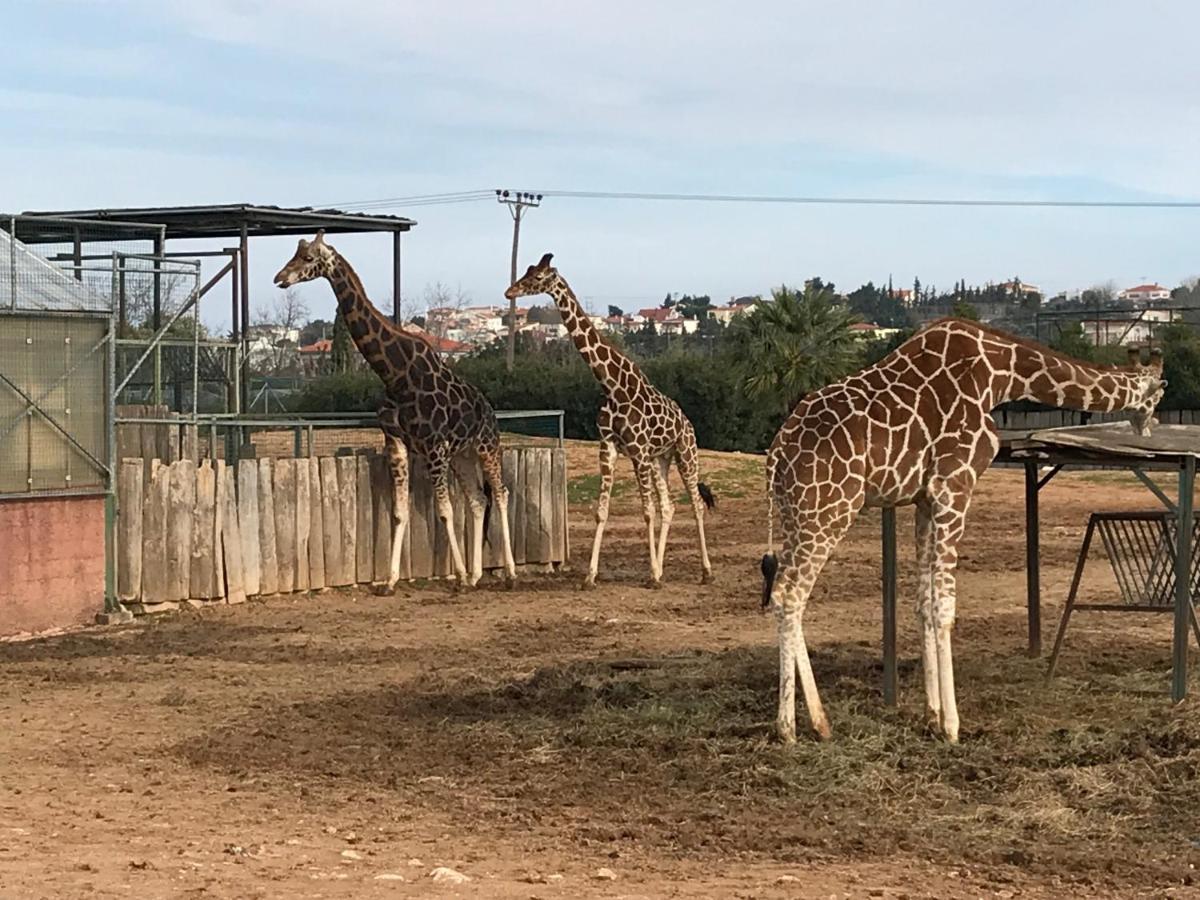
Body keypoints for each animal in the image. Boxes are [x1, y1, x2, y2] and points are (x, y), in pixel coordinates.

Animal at [272, 229, 516, 588]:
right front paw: (389, 580)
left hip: (487, 446)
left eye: (308, 257)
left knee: (500, 494)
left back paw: (508, 572)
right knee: (477, 499)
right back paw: (475, 575)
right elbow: (400, 512)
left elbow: (444, 511)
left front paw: (456, 574)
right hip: (463, 454)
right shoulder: (397, 442)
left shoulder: (433, 446)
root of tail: (489, 410)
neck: (395, 374)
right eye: (294, 254)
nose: (280, 278)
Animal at [504, 254, 710, 592]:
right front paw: (590, 576)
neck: (612, 385)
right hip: (660, 459)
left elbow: (646, 512)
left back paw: (705, 571)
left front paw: (651, 576)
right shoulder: (610, 447)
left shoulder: (637, 450)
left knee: (695, 503)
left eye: (538, 277)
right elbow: (602, 511)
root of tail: (688, 423)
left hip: (685, 453)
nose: (510, 291)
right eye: (527, 270)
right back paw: (663, 568)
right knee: (669, 506)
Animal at [758, 321, 1161, 744]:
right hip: (829, 511)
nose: (1147, 425)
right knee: (789, 595)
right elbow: (944, 607)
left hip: (796, 515)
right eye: (1159, 392)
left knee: (785, 592)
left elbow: (923, 602)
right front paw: (952, 725)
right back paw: (790, 727)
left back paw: (819, 723)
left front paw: (931, 715)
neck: (1002, 372)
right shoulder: (954, 487)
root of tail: (777, 454)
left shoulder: (924, 499)